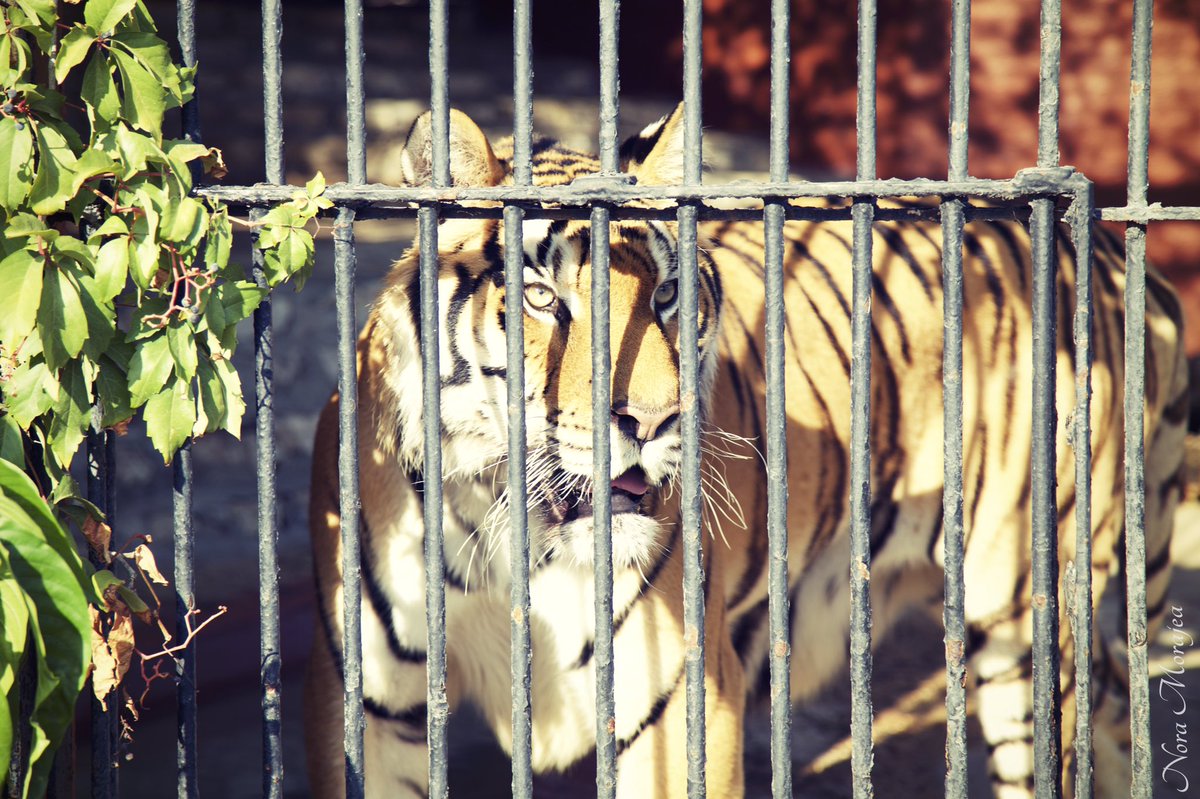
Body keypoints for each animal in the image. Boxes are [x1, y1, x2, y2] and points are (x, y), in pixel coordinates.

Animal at [304, 104, 1189, 799]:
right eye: (542, 298)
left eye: (665, 295)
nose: (655, 419)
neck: (508, 528)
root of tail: (1099, 245)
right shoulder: (366, 701)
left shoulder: (678, 701)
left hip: (1023, 615)